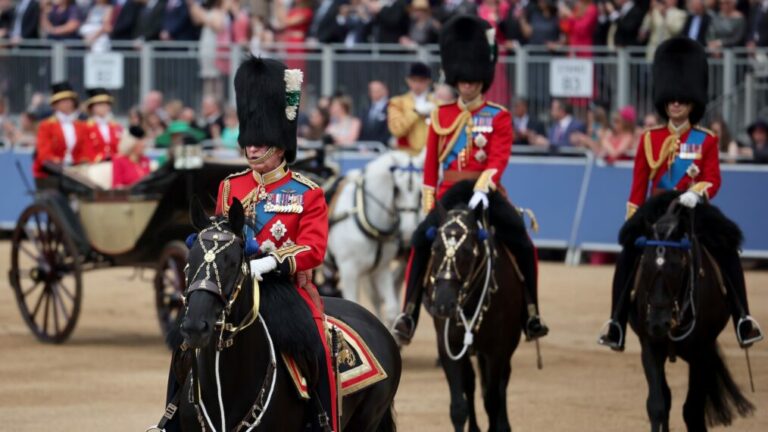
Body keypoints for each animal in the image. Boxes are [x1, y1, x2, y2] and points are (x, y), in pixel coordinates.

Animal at [326, 149, 426, 324]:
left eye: (420, 192)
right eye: (396, 189)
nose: (408, 231)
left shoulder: (381, 268)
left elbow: (390, 308)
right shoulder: (348, 270)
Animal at [424, 203, 524, 432]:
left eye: (468, 251)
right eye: (435, 248)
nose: (443, 304)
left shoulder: (496, 350)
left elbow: (492, 400)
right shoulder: (448, 347)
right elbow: (458, 407)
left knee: (502, 382)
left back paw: (504, 425)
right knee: (470, 384)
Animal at [628, 197, 752, 430]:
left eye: (678, 266)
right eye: (645, 264)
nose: (658, 324)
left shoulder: (702, 352)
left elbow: (692, 410)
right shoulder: (650, 346)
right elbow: (657, 405)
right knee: (666, 399)